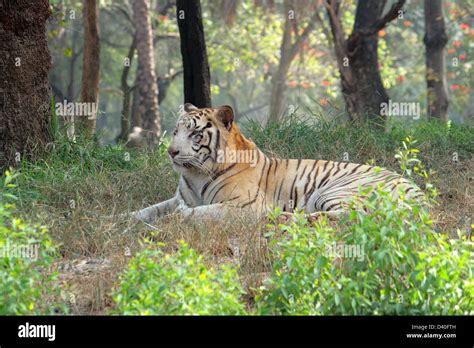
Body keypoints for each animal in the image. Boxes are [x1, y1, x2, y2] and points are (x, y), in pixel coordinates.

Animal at [128, 103, 424, 223]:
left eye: (195, 134)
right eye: (175, 131)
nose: (171, 152)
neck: (196, 174)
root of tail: (420, 195)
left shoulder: (244, 205)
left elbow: (204, 212)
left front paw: (180, 216)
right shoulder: (177, 197)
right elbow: (148, 210)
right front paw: (124, 218)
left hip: (331, 191)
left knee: (350, 215)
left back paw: (287, 217)